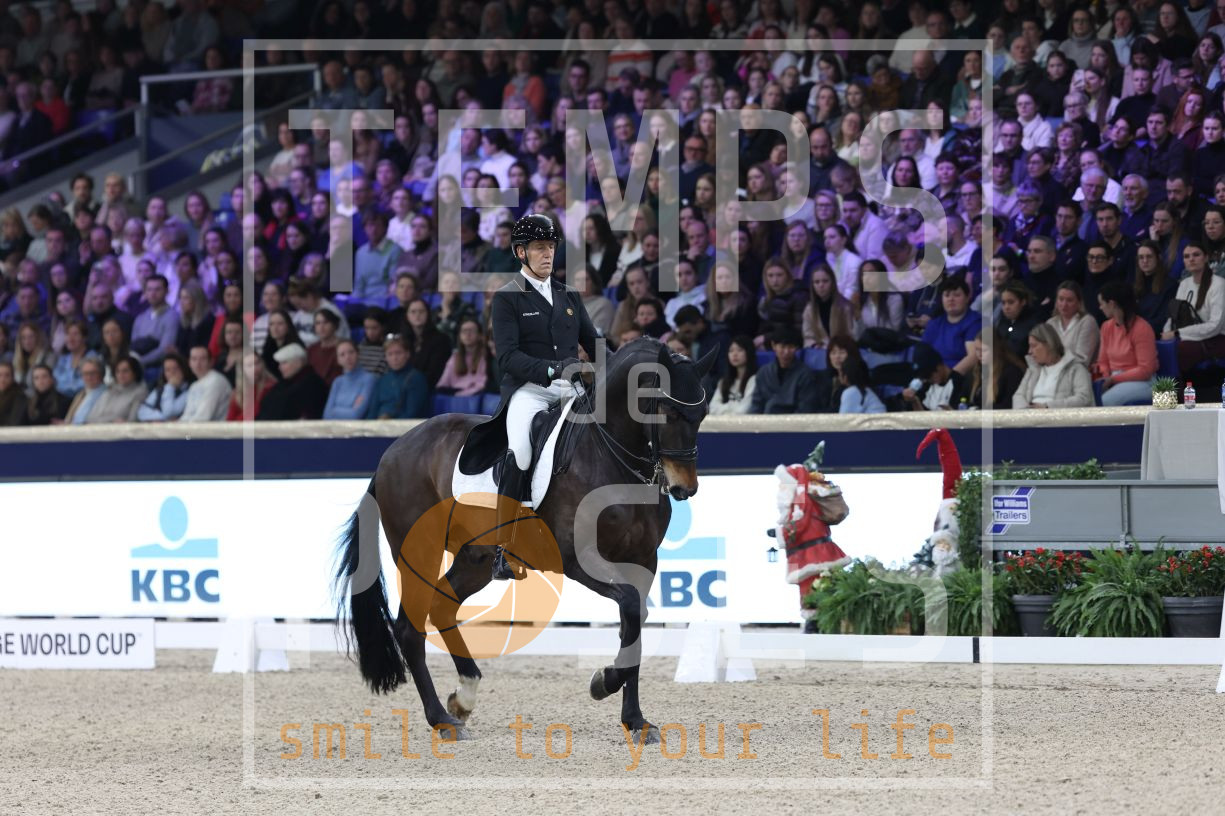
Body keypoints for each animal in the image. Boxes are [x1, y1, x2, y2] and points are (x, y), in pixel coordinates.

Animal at [333, 337, 718, 743]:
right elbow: (629, 606)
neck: (609, 459)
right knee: (409, 629)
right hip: (417, 554)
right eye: (667, 411)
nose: (684, 488)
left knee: (442, 607)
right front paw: (602, 683)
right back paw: (443, 719)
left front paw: (636, 721)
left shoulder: (644, 560)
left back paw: (464, 698)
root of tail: (392, 452)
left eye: (702, 414)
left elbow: (634, 623)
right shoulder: (577, 559)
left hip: (475, 559)